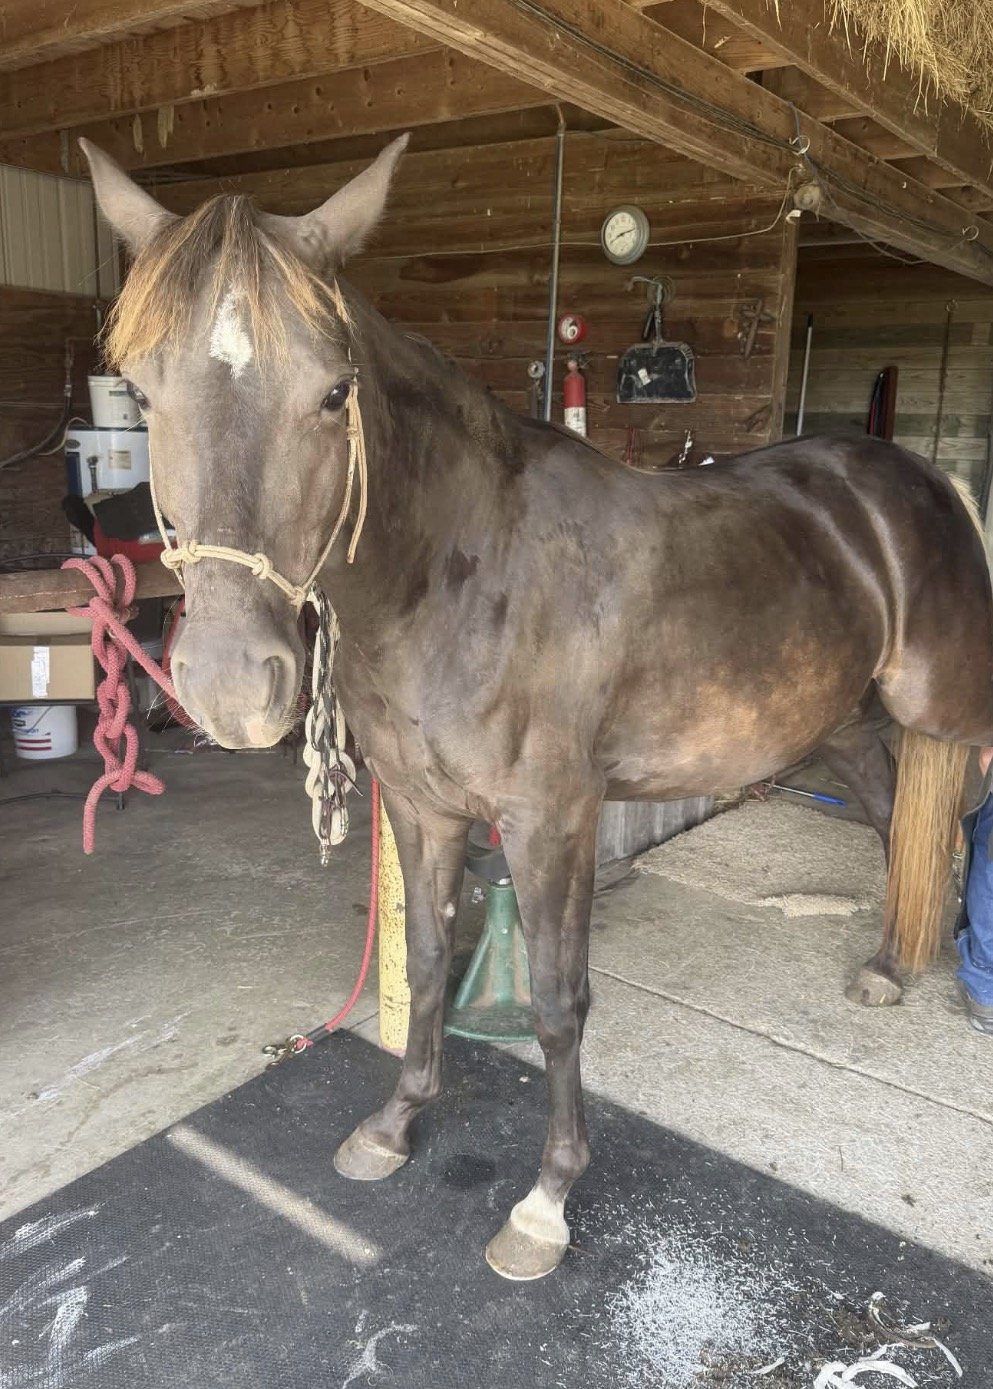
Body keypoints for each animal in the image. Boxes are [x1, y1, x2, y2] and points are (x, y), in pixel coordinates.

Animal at [82, 135, 993, 1281]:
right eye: (143, 393)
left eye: (333, 393)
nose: (233, 685)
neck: (461, 572)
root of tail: (915, 480)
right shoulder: (420, 807)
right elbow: (429, 962)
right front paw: (397, 1122)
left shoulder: (552, 820)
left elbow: (561, 1006)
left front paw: (546, 1201)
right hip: (848, 719)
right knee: (892, 815)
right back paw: (884, 967)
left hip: (949, 707)